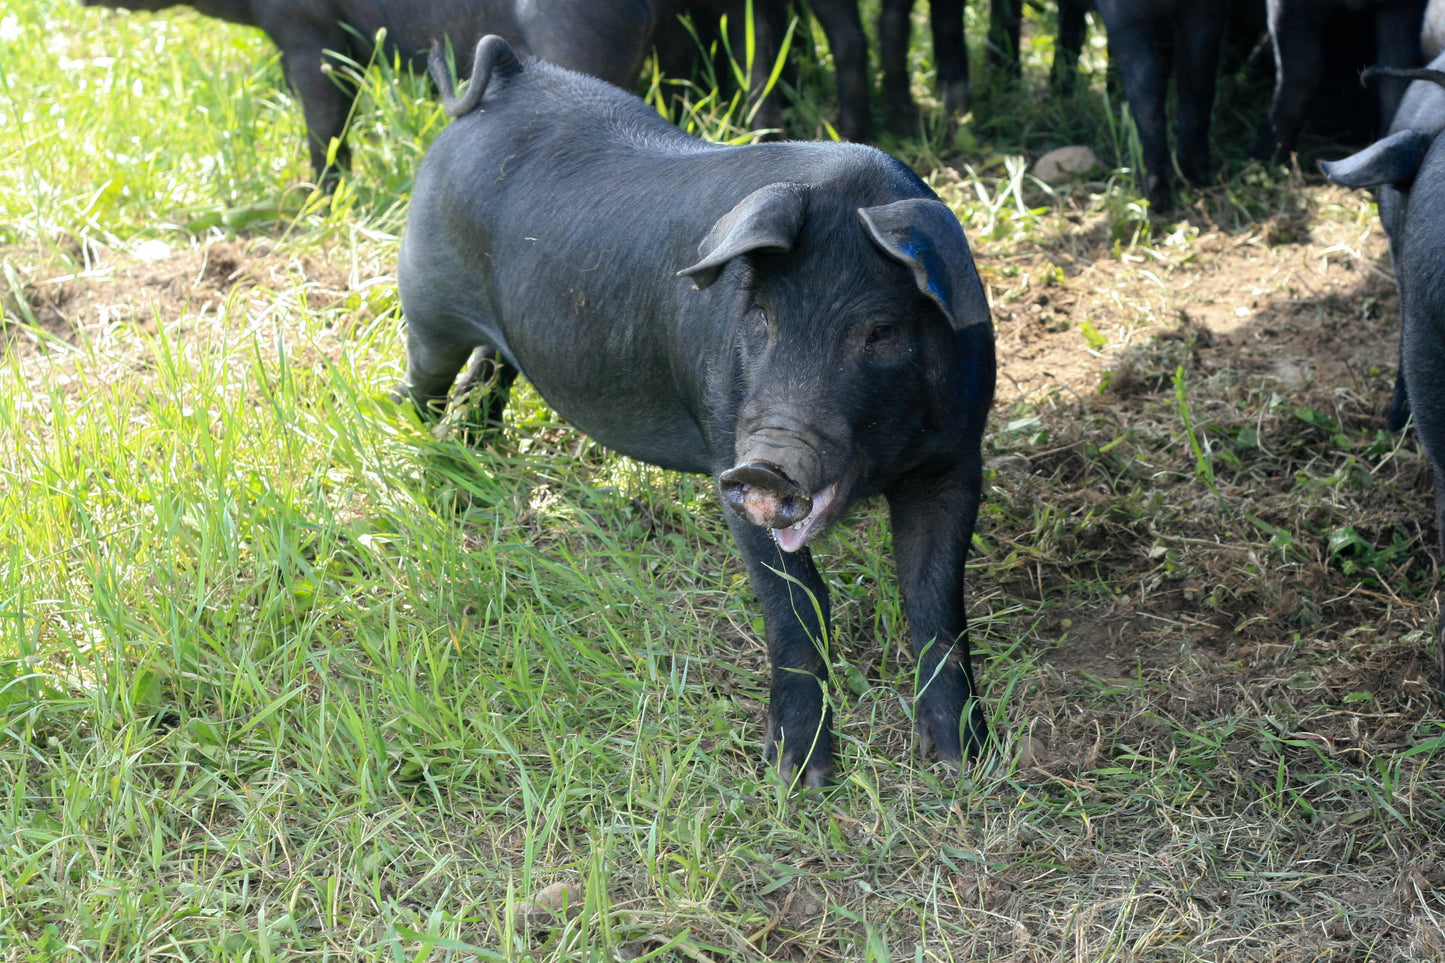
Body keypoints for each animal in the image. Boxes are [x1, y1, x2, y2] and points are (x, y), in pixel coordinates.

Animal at [398, 39, 1005, 786]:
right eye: (761, 316)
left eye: (882, 332)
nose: (770, 466)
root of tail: (512, 74)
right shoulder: (725, 450)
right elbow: (795, 601)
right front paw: (797, 776)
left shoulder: (956, 458)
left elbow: (934, 597)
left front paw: (960, 762)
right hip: (426, 305)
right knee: (426, 381)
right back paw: (425, 459)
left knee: (489, 373)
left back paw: (478, 451)